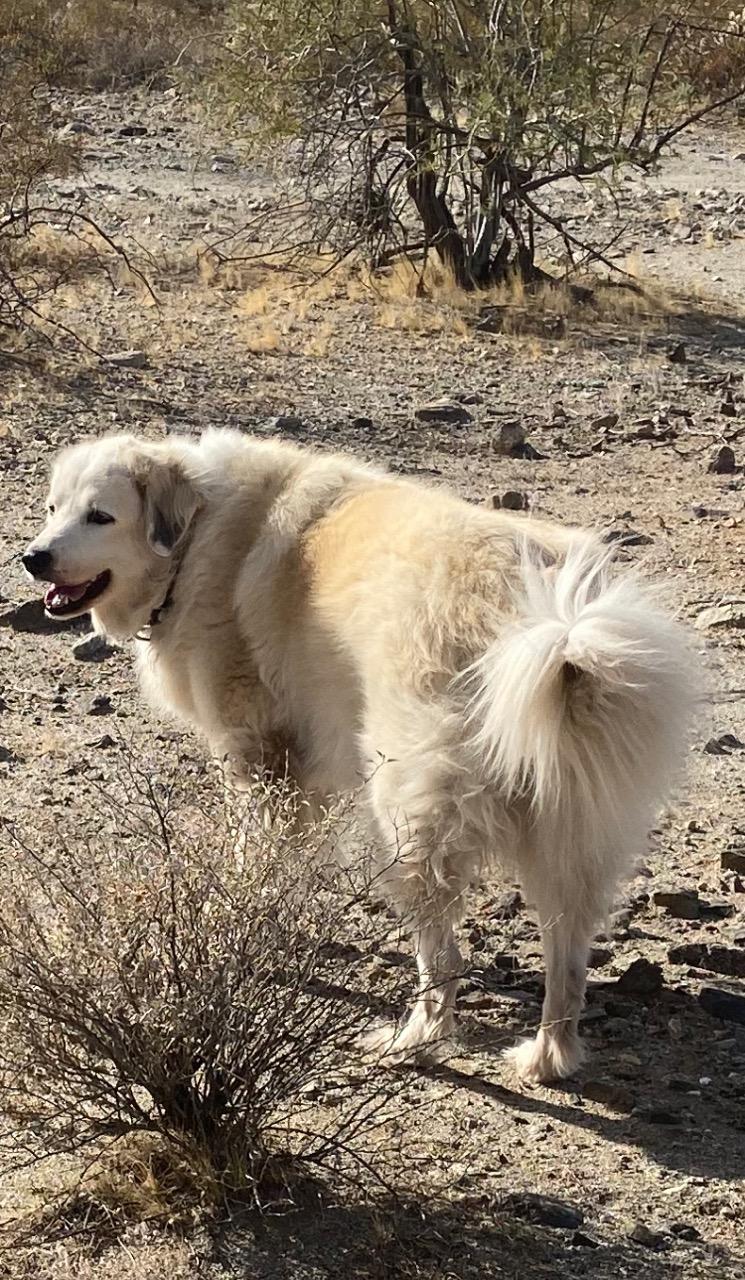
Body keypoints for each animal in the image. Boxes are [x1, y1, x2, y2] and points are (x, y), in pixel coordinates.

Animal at [24, 432, 701, 1080]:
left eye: (100, 516)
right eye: (54, 508)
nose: (34, 558)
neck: (195, 537)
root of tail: (552, 622)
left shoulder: (258, 756)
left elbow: (254, 854)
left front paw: (234, 920)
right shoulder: (307, 773)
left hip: (407, 819)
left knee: (444, 956)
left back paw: (414, 1040)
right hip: (571, 835)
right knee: (567, 956)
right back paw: (548, 1058)